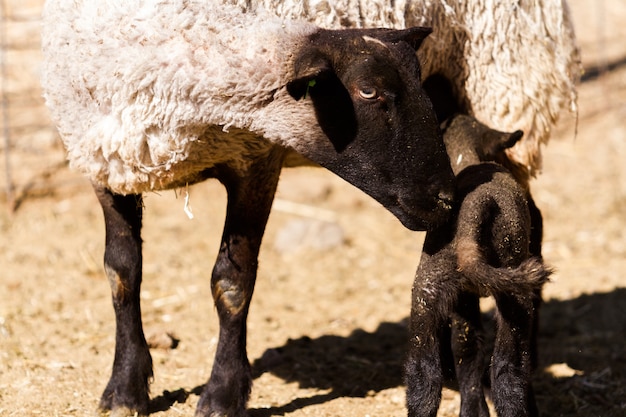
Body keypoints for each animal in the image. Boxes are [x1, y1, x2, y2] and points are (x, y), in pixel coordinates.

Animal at [41, 0, 456, 416]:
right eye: (368, 90)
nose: (445, 199)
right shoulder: (107, 160)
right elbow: (122, 272)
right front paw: (125, 389)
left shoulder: (256, 158)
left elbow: (232, 283)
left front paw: (222, 395)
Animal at [402, 113, 548, 416]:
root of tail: (476, 209)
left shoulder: (462, 297)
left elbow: (466, 348)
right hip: (515, 296)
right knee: (509, 371)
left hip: (426, 292)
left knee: (425, 376)